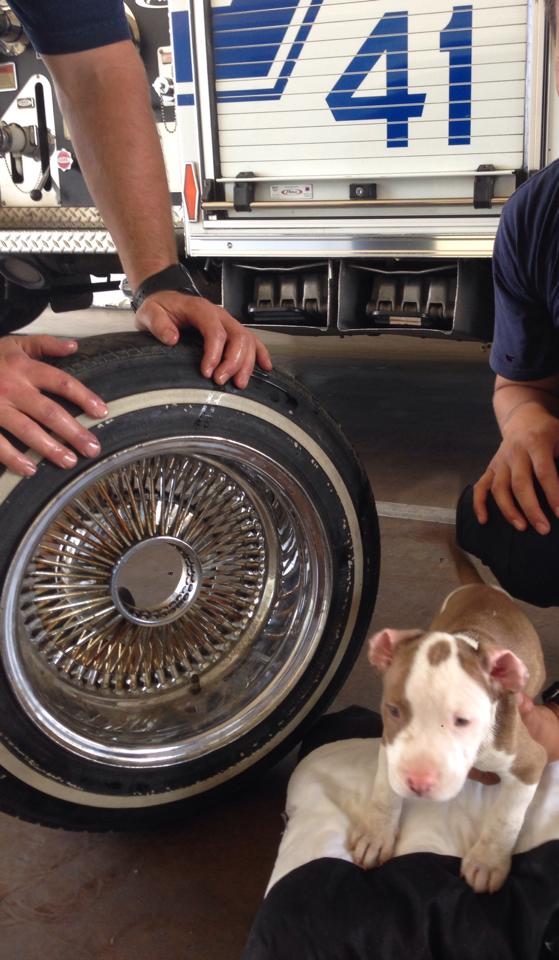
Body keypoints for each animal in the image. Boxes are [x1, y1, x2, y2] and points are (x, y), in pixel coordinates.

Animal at [350, 552, 548, 896]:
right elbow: (384, 790)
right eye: (394, 711)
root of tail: (483, 587)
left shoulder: (529, 761)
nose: (418, 782)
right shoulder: (390, 743)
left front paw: (487, 861)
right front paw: (375, 834)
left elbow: (506, 817)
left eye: (462, 721)